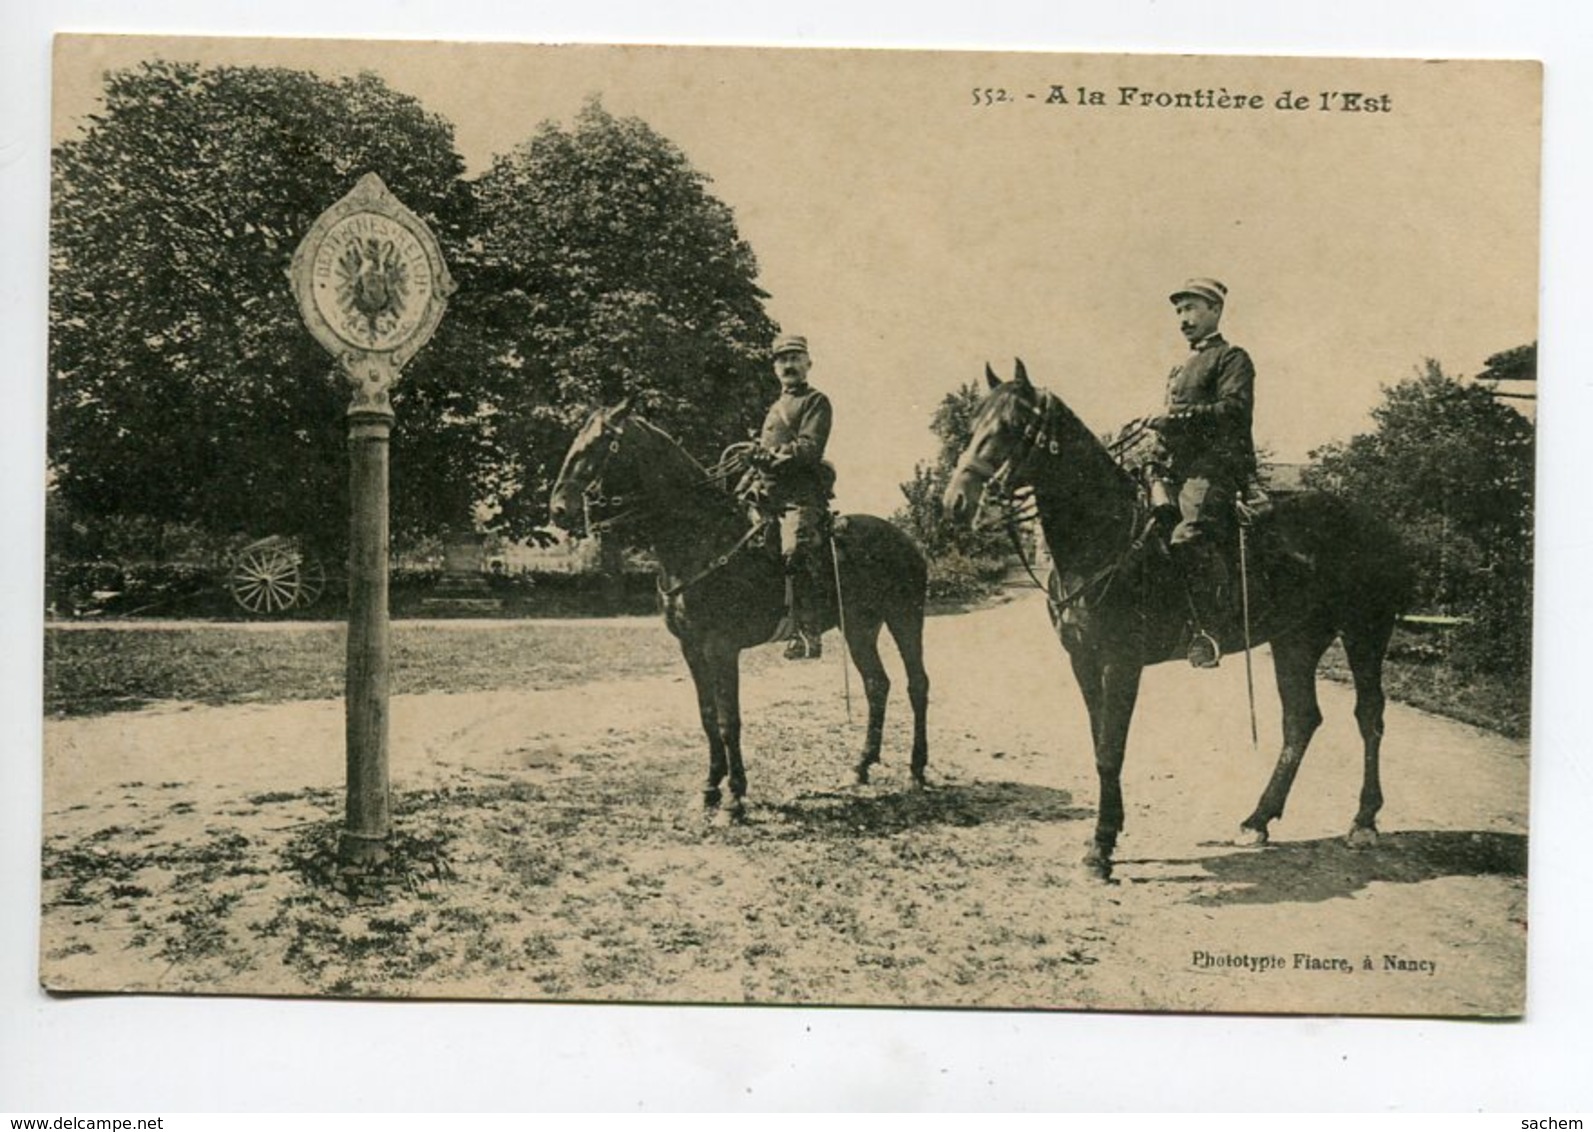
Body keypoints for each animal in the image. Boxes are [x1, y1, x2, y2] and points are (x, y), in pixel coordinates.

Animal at [547, 398, 930, 815]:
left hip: (905, 618)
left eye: (598, 444)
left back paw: (916, 769)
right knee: (877, 684)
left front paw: (734, 797)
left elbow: (729, 719)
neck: (701, 539)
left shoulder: (721, 647)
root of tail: (906, 541)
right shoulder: (691, 648)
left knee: (917, 684)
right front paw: (710, 788)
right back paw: (861, 766)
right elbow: (708, 716)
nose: (558, 509)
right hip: (859, 626)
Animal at [936, 361, 1414, 878]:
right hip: (1296, 640)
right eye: (974, 423)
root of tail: (1376, 522)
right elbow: (1099, 741)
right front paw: (1110, 831)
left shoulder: (1121, 662)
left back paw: (1363, 821)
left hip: (1365, 631)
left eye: (1012, 425)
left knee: (1369, 716)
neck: (1105, 536)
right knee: (1301, 720)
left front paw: (1101, 847)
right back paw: (1257, 820)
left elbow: (1111, 749)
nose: (956, 501)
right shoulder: (1082, 659)